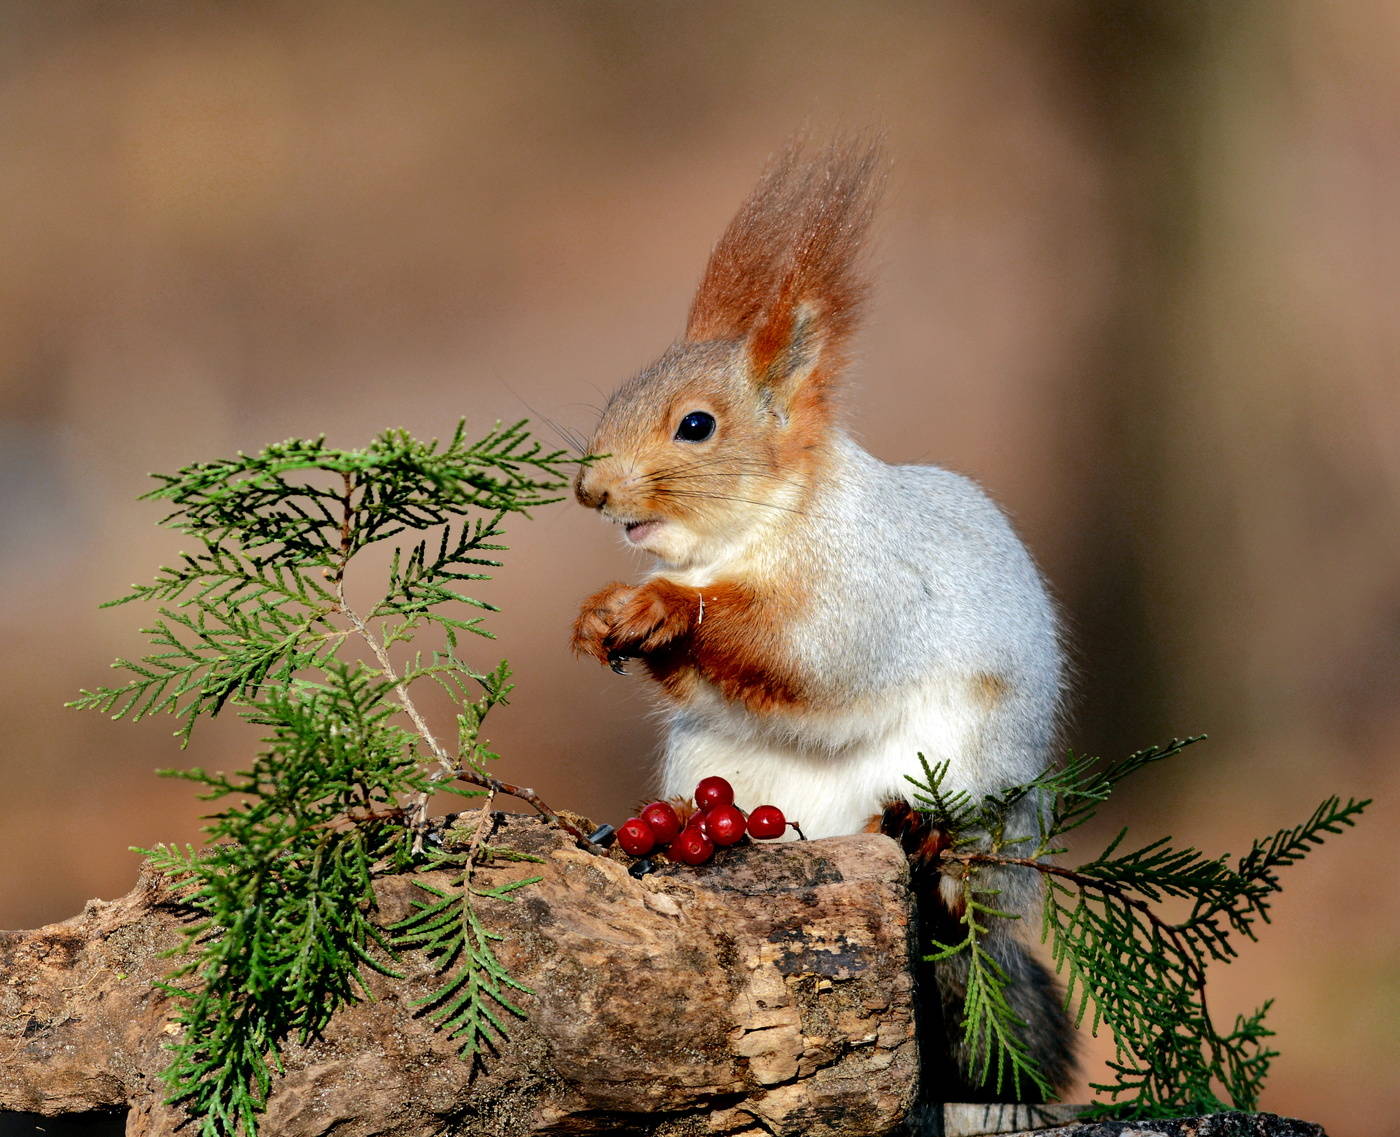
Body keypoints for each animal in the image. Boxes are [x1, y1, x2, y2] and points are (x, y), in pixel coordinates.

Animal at [569, 137, 1076, 1106]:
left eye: (697, 426)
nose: (593, 490)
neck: (743, 541)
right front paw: (602, 613)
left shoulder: (869, 585)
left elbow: (808, 655)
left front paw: (665, 606)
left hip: (971, 780)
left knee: (953, 882)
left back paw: (920, 844)